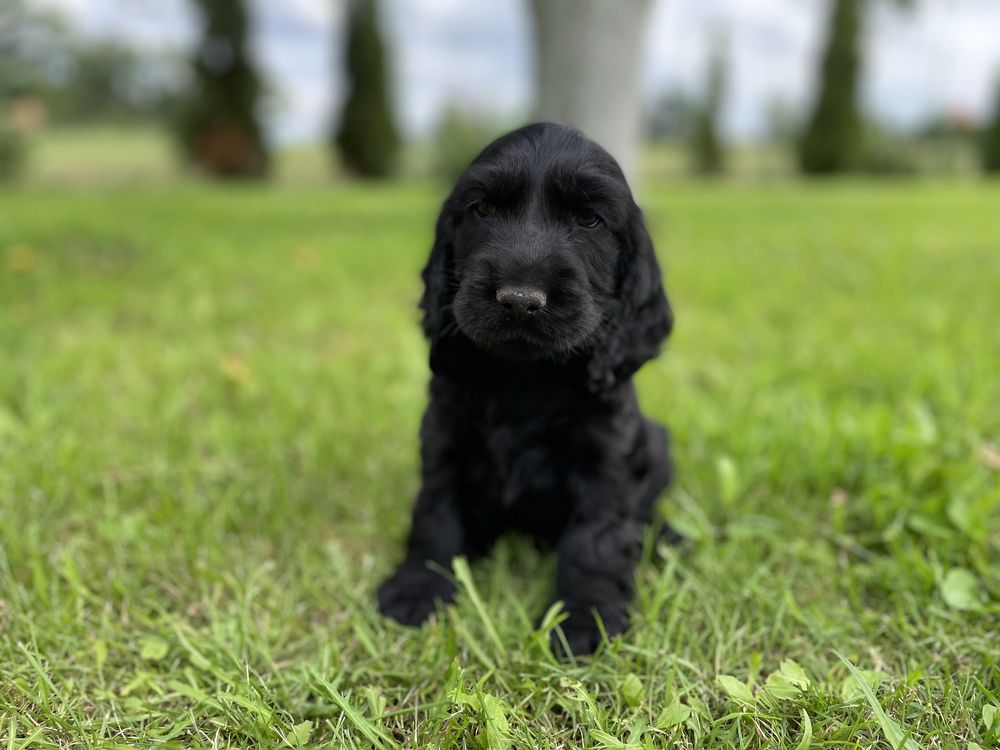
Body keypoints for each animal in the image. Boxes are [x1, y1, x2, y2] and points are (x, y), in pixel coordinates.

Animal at [378, 123, 676, 656]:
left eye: (588, 218)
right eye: (483, 210)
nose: (520, 300)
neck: (525, 376)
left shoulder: (606, 462)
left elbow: (595, 541)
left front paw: (584, 621)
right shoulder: (444, 440)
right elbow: (434, 516)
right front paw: (418, 588)